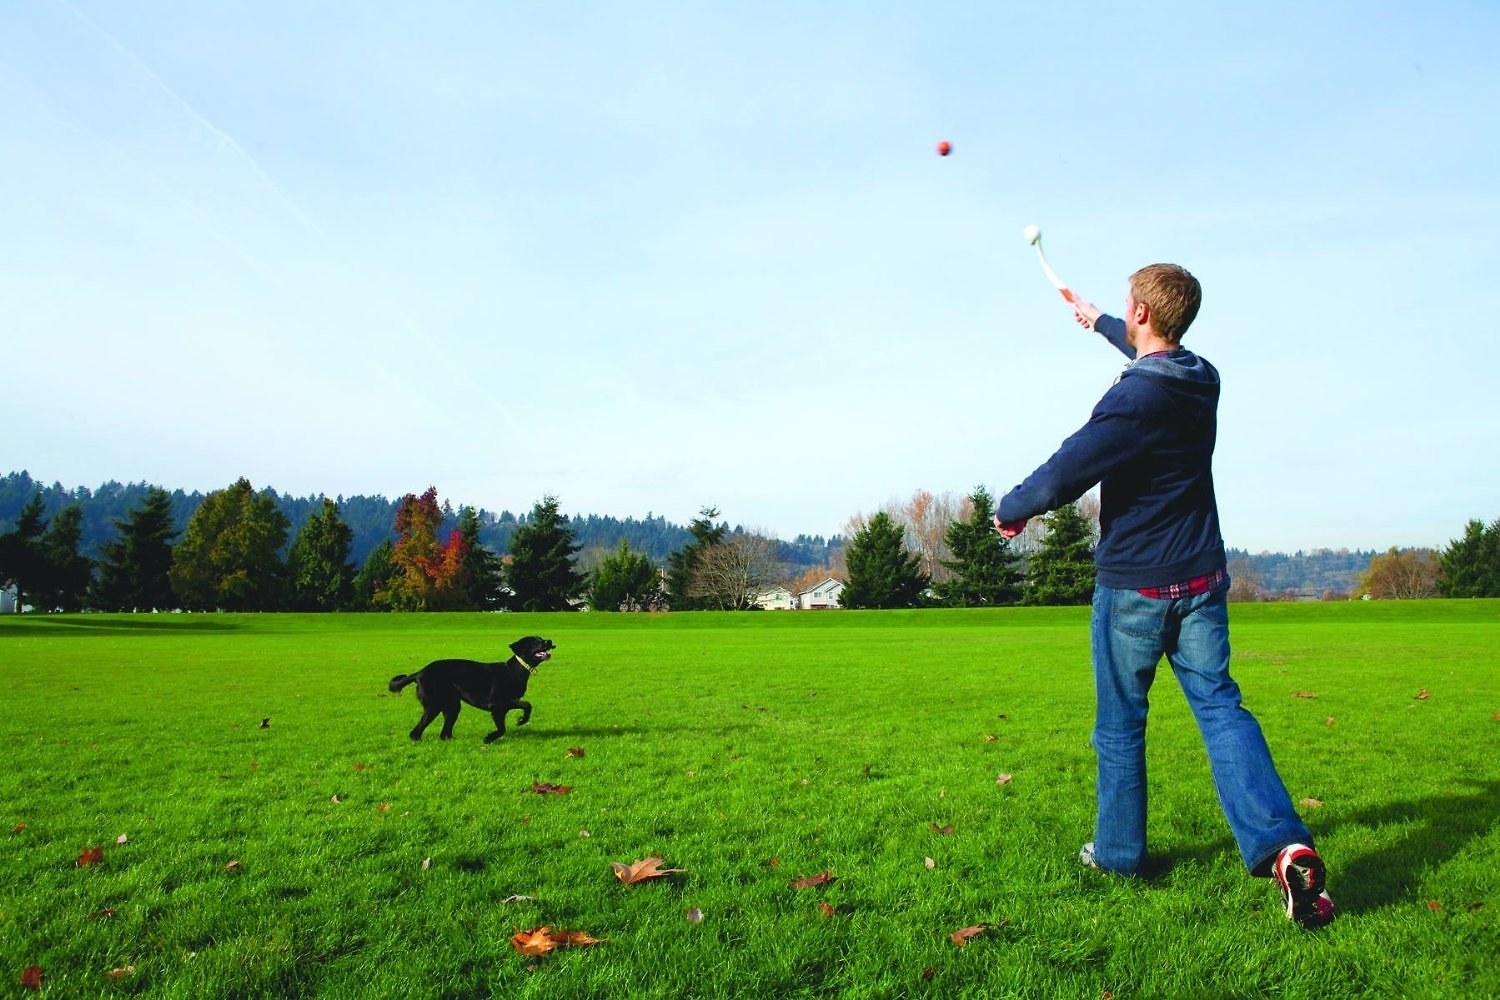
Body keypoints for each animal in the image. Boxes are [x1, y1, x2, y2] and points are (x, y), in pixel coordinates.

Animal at [390, 638, 555, 740]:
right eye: (535, 641)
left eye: (541, 638)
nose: (549, 641)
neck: (515, 670)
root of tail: (419, 673)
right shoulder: (497, 705)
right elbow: (504, 727)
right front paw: (489, 738)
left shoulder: (506, 704)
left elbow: (527, 706)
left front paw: (521, 720)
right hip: (433, 706)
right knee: (416, 732)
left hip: (452, 706)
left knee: (444, 733)